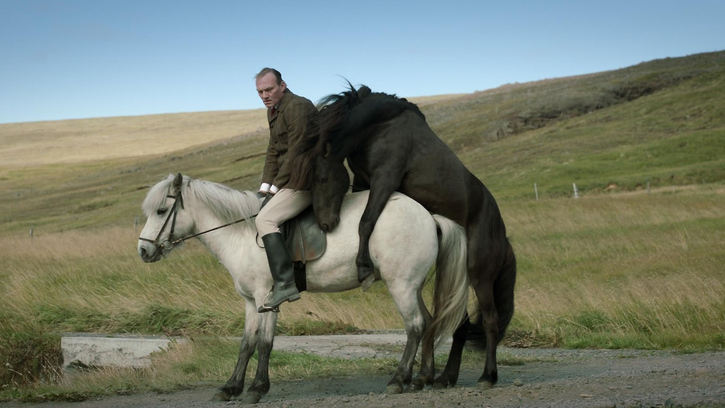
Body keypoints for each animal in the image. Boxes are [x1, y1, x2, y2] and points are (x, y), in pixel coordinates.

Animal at [138, 174, 466, 404]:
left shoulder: (267, 299)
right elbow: (246, 344)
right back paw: (423, 378)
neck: (241, 233)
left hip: (402, 285)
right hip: (412, 286)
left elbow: (264, 344)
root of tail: (428, 216)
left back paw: (399, 380)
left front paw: (257, 388)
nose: (143, 251)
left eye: (162, 210)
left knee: (415, 326)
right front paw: (230, 387)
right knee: (430, 323)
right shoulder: (250, 302)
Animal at [286, 85, 516, 388]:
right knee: (460, 324)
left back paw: (487, 376)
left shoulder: (385, 179)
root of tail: (502, 235)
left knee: (489, 320)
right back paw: (443, 377)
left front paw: (363, 266)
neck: (379, 126)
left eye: (322, 179)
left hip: (479, 275)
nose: (325, 223)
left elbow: (365, 221)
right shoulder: (363, 181)